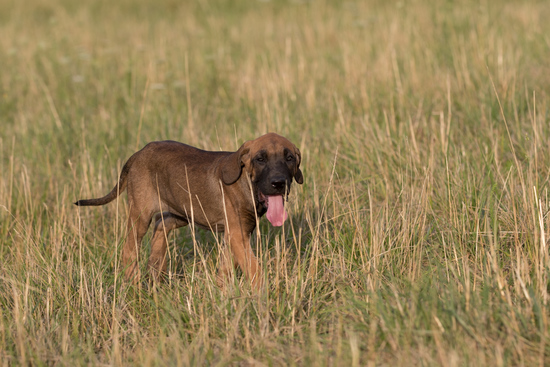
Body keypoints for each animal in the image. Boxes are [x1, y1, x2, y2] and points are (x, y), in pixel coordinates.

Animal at [75, 134, 304, 288]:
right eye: (260, 159)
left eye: (290, 158)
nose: (278, 183)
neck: (246, 184)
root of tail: (140, 152)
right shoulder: (237, 234)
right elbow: (253, 267)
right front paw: (261, 295)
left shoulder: (236, 234)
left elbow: (227, 266)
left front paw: (223, 293)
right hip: (141, 214)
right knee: (130, 249)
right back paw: (134, 284)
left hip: (180, 213)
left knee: (160, 229)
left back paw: (155, 279)